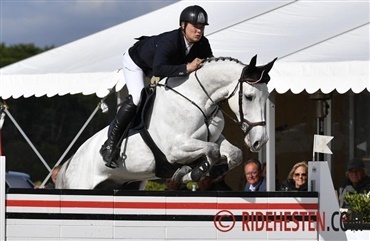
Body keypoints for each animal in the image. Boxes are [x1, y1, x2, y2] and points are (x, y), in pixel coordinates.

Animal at [56, 55, 276, 189]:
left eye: (266, 97)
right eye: (248, 97)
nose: (260, 141)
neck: (196, 99)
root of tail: (70, 163)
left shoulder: (213, 139)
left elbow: (234, 153)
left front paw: (194, 172)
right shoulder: (175, 149)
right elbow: (211, 151)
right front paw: (192, 173)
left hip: (128, 183)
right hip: (82, 185)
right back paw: (109, 152)